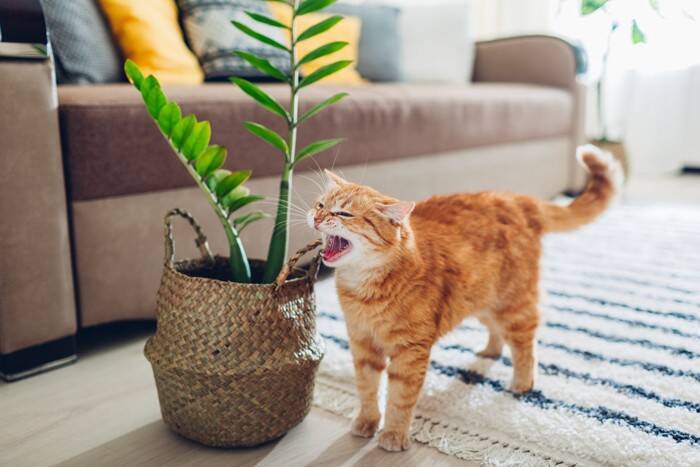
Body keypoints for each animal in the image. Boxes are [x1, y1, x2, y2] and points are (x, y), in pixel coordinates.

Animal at [307, 145, 622, 452]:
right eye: (321, 205)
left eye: (344, 214)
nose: (317, 217)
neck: (364, 289)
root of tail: (515, 197)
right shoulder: (362, 345)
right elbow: (367, 389)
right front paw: (367, 422)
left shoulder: (410, 352)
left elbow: (399, 399)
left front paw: (394, 435)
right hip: (481, 300)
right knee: (497, 331)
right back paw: (490, 351)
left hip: (513, 304)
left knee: (525, 344)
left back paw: (522, 383)